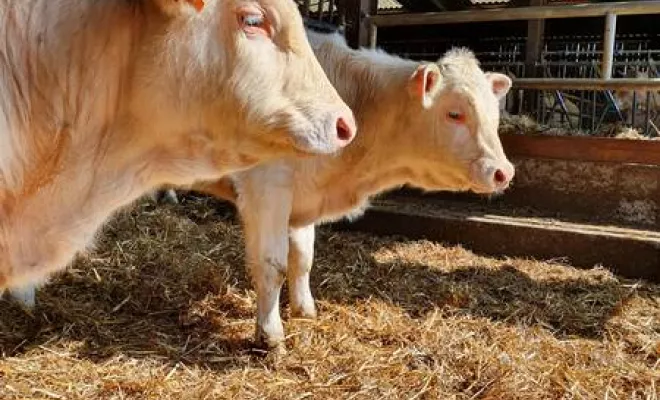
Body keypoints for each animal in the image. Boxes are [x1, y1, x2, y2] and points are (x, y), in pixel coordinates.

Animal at [192, 30, 516, 350]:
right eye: (454, 114)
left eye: (494, 115)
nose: (503, 172)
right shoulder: (267, 188)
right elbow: (274, 265)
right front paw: (271, 336)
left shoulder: (304, 195)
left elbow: (303, 258)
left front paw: (304, 310)